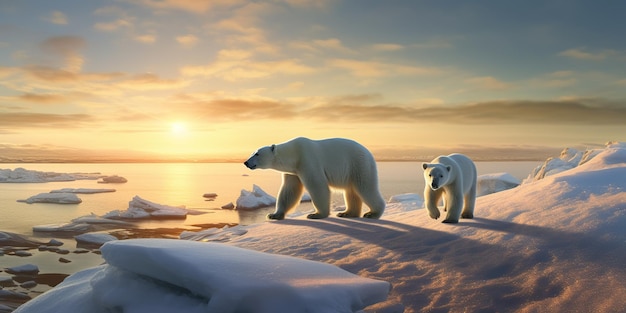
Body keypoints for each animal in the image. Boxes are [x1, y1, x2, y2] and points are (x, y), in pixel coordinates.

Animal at [241, 136, 382, 219]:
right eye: (252, 152)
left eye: (257, 153)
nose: (246, 162)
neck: (294, 154)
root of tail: (369, 153)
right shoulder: (293, 171)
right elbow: (288, 191)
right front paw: (274, 214)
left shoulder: (308, 161)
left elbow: (317, 186)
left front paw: (316, 214)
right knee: (351, 191)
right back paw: (347, 213)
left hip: (358, 165)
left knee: (365, 188)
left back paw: (372, 213)